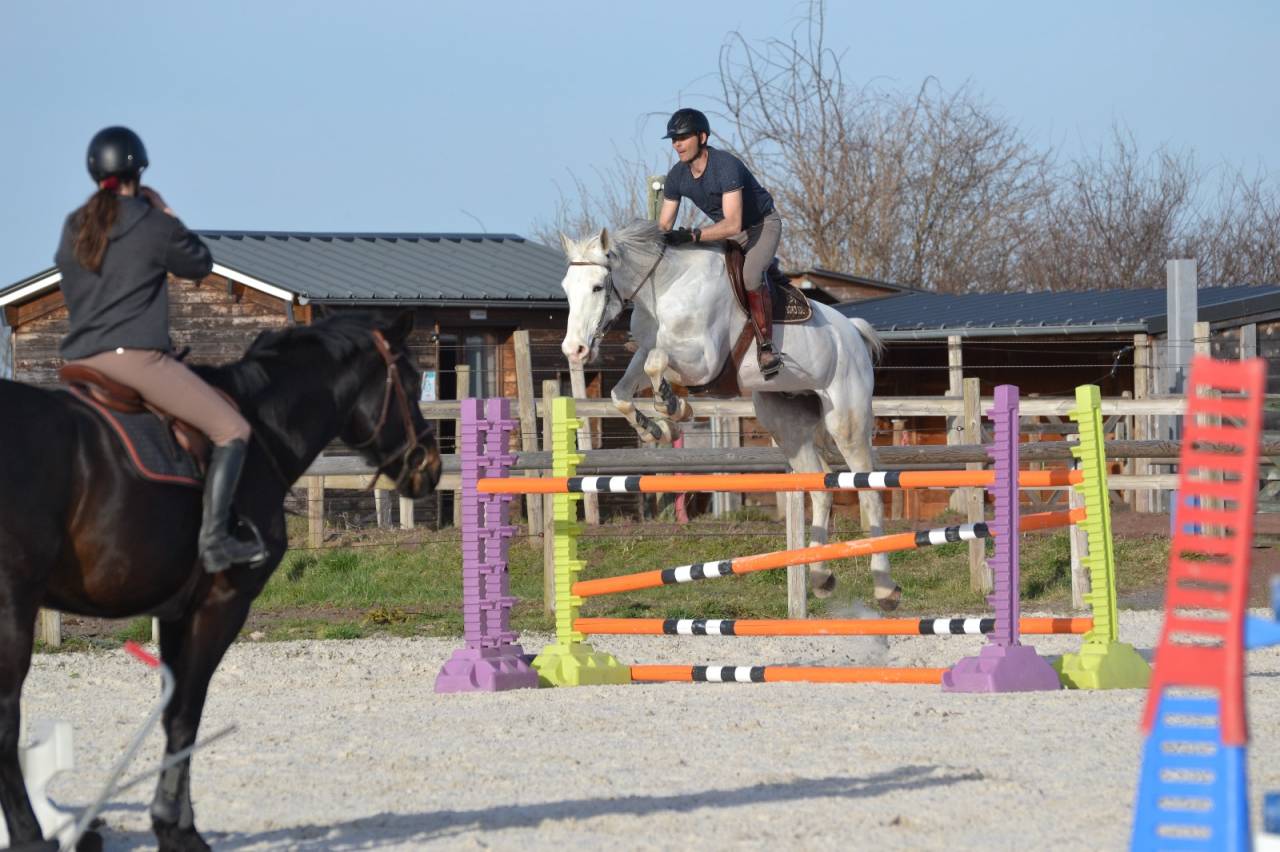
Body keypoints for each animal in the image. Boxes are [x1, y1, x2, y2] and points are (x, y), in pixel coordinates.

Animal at [0, 312, 441, 852]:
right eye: (410, 380)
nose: (430, 465)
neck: (262, 430)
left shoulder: (174, 613)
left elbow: (173, 713)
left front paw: (174, 824)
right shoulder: (221, 605)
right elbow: (187, 715)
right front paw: (180, 830)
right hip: (12, 608)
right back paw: (31, 837)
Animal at [557, 221, 898, 609]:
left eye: (598, 286)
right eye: (566, 289)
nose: (574, 350)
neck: (665, 286)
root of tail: (853, 332)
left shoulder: (703, 362)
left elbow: (657, 361)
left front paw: (673, 406)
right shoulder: (646, 350)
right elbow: (623, 391)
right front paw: (655, 427)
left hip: (846, 419)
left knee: (868, 489)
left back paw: (885, 588)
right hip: (785, 422)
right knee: (821, 488)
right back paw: (820, 577)